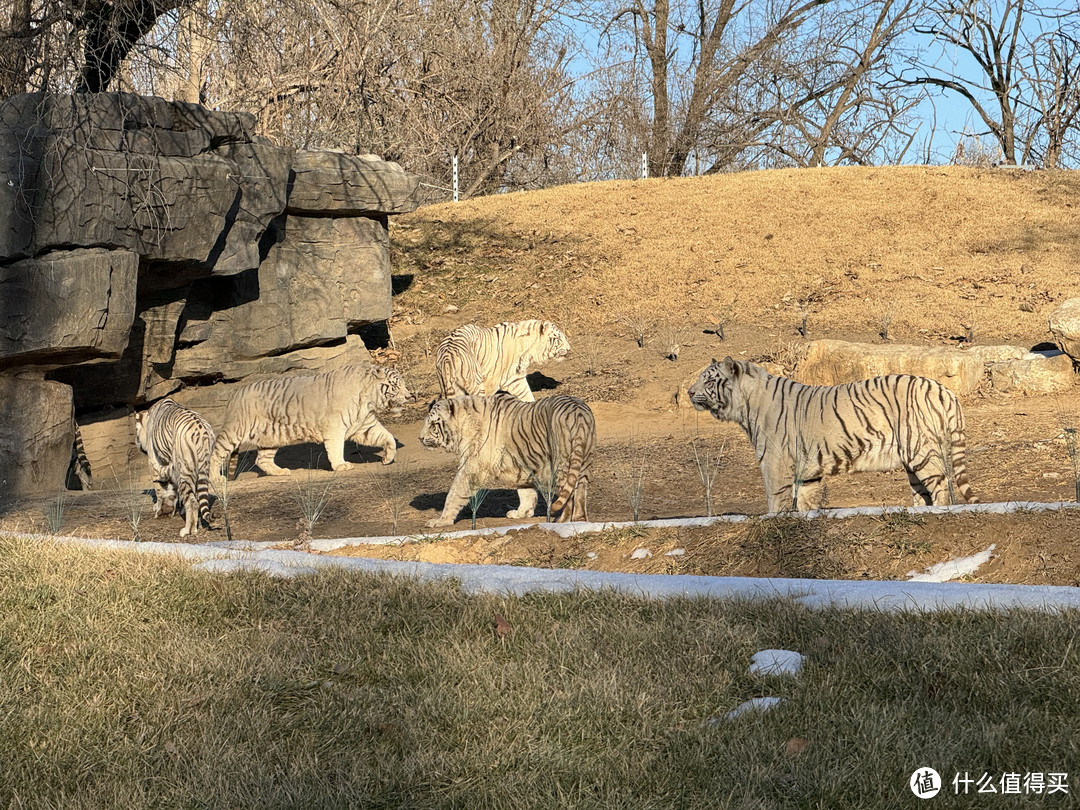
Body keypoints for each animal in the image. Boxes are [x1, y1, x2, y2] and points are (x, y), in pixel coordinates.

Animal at [133, 399, 216, 540]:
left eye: (136, 429)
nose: (136, 443)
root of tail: (201, 430)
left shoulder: (154, 461)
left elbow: (160, 489)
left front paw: (159, 510)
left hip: (185, 468)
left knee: (192, 501)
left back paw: (188, 530)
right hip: (202, 467)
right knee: (196, 497)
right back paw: (193, 527)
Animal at [210, 360, 408, 481]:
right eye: (395, 385)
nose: (410, 396)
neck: (368, 399)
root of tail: (235, 393)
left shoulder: (365, 425)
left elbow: (387, 437)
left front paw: (388, 458)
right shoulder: (335, 428)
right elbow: (336, 448)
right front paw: (341, 465)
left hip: (270, 438)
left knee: (262, 460)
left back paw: (281, 472)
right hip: (234, 432)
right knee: (215, 454)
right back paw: (215, 478)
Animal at [416, 390, 596, 529]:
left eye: (433, 424)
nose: (420, 438)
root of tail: (578, 412)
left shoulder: (471, 468)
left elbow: (454, 494)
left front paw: (441, 520)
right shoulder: (522, 466)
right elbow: (526, 492)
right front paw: (522, 513)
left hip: (561, 464)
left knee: (570, 494)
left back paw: (562, 521)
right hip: (584, 463)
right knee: (580, 492)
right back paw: (579, 520)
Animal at [434, 319, 574, 403]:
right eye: (558, 339)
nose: (569, 348)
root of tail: (447, 357)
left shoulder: (515, 379)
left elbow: (527, 394)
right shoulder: (492, 382)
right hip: (476, 384)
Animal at [691, 356, 980, 514]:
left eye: (709, 380)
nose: (688, 392)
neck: (746, 406)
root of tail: (944, 390)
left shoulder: (775, 462)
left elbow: (775, 498)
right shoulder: (807, 472)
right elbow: (804, 502)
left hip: (919, 448)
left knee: (940, 484)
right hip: (912, 459)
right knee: (924, 491)